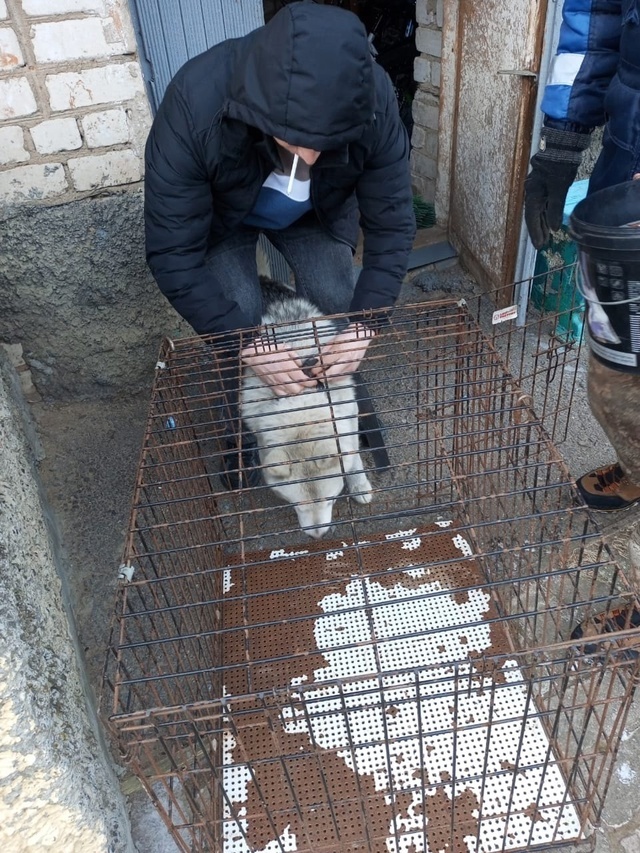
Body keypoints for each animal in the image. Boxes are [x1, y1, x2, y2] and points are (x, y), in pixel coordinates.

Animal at [240, 300, 372, 536]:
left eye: (330, 500)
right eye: (297, 505)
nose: (318, 535)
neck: (302, 399)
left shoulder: (348, 415)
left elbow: (354, 459)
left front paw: (358, 485)